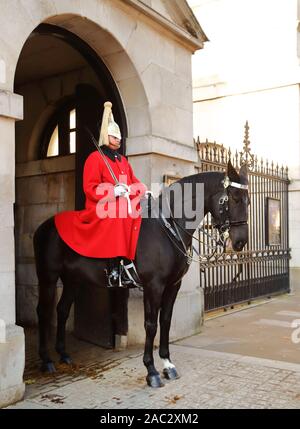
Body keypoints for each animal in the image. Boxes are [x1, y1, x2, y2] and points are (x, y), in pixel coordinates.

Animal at [33, 160, 248, 388]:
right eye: (234, 198)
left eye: (249, 200)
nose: (240, 242)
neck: (169, 228)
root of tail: (44, 226)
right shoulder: (153, 286)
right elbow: (151, 325)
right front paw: (151, 370)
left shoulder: (173, 285)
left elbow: (166, 321)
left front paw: (168, 364)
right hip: (47, 277)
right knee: (44, 312)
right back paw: (46, 360)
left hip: (73, 279)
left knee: (62, 309)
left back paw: (64, 354)